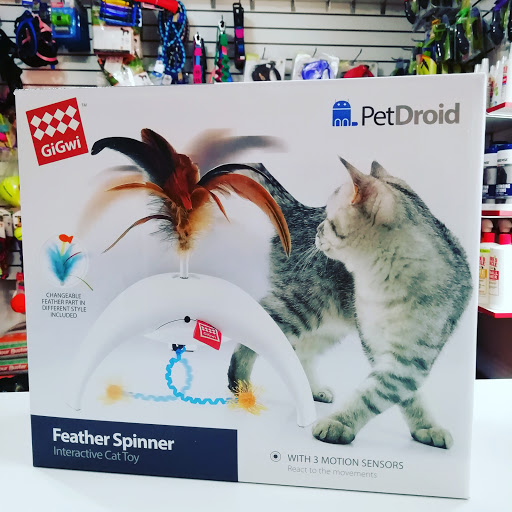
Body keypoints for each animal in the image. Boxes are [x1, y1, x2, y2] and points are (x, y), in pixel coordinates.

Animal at [228, 158, 472, 448]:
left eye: (328, 220)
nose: (318, 230)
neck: (380, 285)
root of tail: (298, 211)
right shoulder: (376, 344)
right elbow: (374, 394)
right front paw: (339, 423)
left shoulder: (411, 357)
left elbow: (391, 392)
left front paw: (425, 426)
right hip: (301, 304)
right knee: (255, 333)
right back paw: (239, 380)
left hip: (327, 322)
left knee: (299, 352)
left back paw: (312, 390)